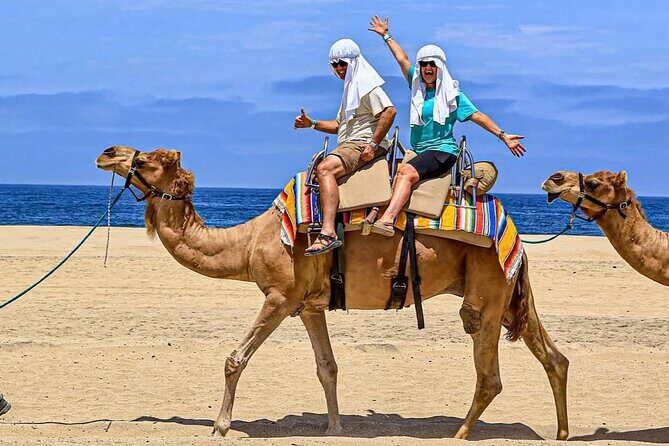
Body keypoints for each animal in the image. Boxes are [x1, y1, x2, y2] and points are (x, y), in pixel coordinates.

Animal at [95, 146, 570, 440]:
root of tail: (514, 233)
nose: (107, 152)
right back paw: (562, 432)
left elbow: (235, 358)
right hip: (506, 294)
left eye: (147, 159)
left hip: (486, 290)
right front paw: (335, 428)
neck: (249, 242)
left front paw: (221, 426)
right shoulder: (309, 305)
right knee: (554, 357)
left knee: (489, 373)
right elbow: (328, 368)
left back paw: (459, 433)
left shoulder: (280, 296)